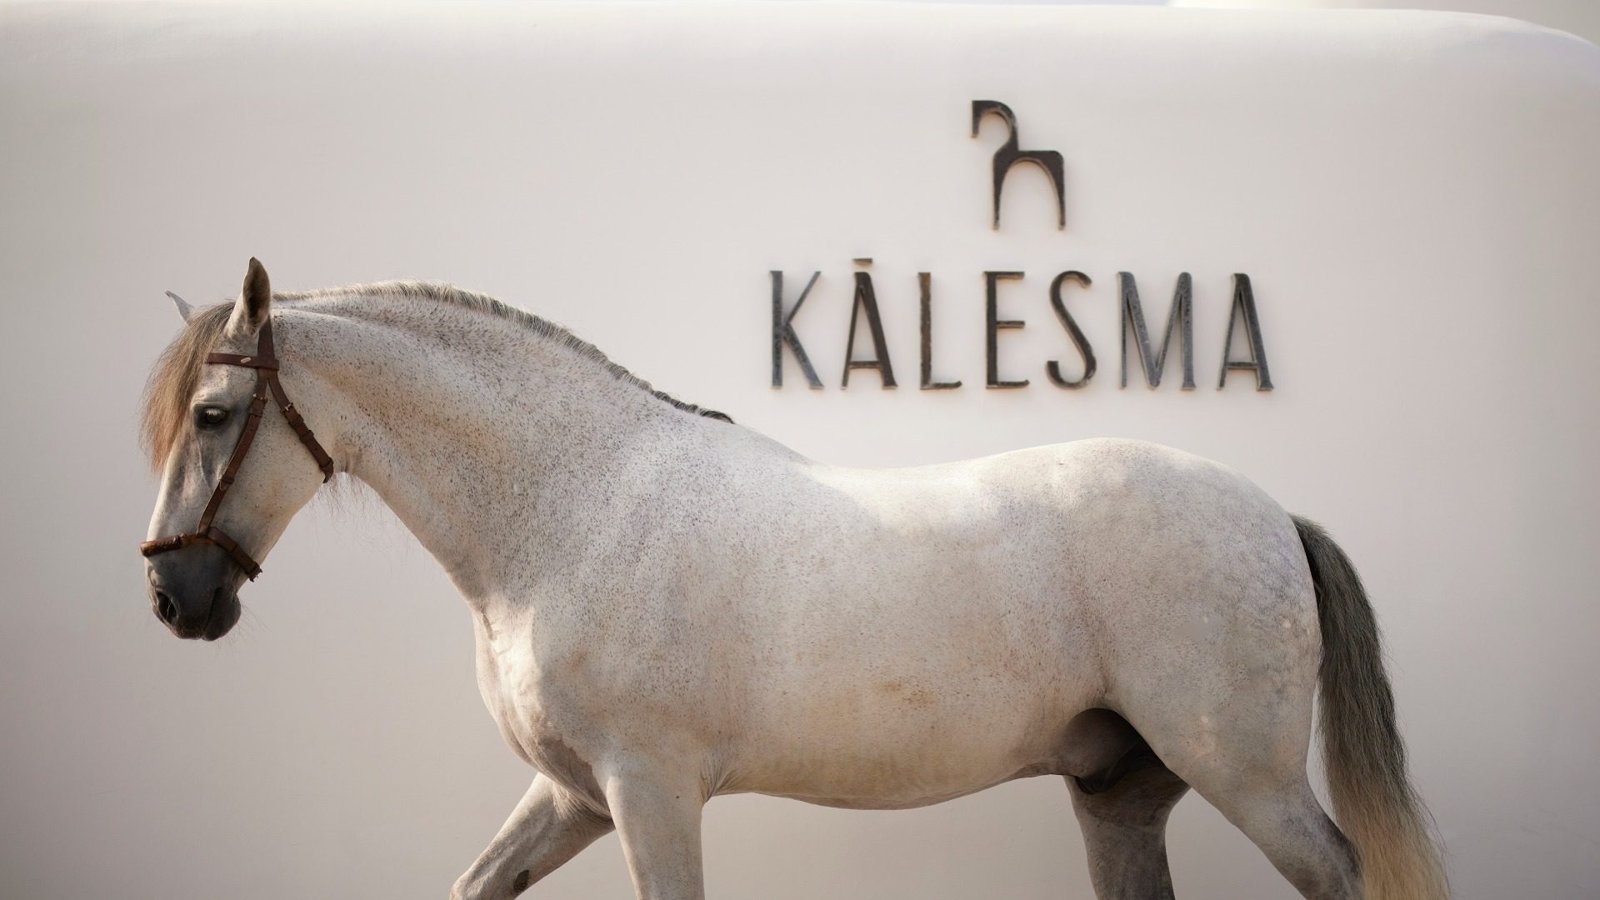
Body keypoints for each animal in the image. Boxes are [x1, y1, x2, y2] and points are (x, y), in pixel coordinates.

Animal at [139, 259, 1446, 900]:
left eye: (212, 415)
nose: (174, 598)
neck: (574, 509)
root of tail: (1274, 515)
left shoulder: (648, 793)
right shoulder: (571, 795)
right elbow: (471, 886)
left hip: (1247, 777)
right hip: (1119, 793)